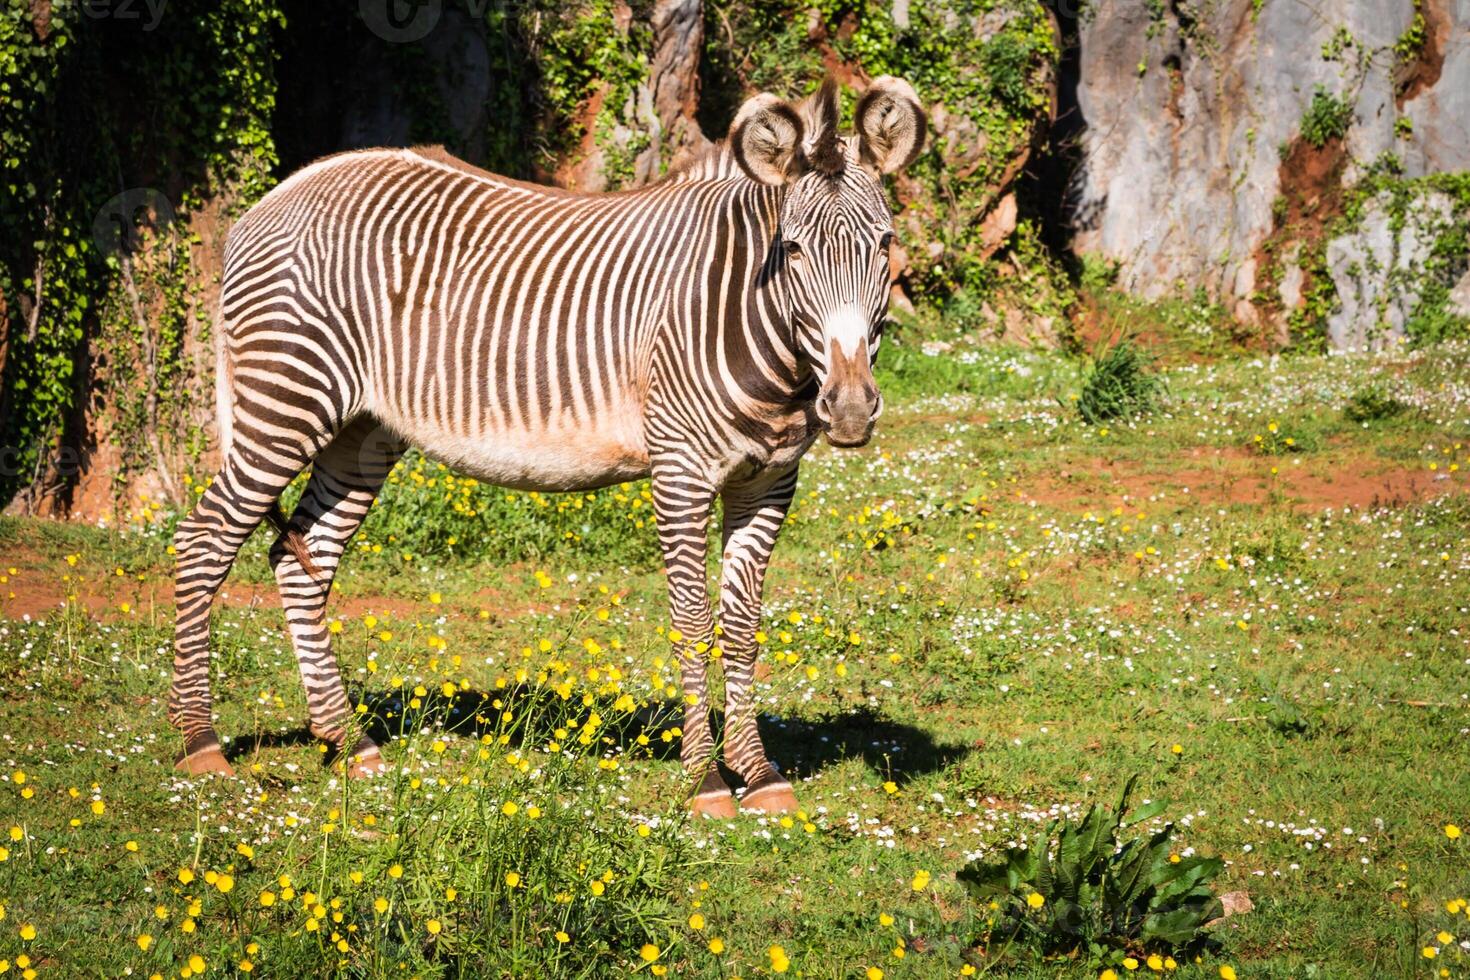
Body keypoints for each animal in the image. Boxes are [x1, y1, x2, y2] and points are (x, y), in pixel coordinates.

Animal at [171, 76, 923, 816]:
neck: (749, 317)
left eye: (884, 245)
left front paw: (758, 771)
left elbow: (742, 626)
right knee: (203, 538)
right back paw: (200, 744)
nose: (849, 408)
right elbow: (691, 619)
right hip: (286, 400)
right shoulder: (680, 471)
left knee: (303, 558)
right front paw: (706, 780)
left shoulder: (768, 480)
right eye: (792, 250)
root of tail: (275, 196)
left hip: (361, 432)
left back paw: (347, 740)